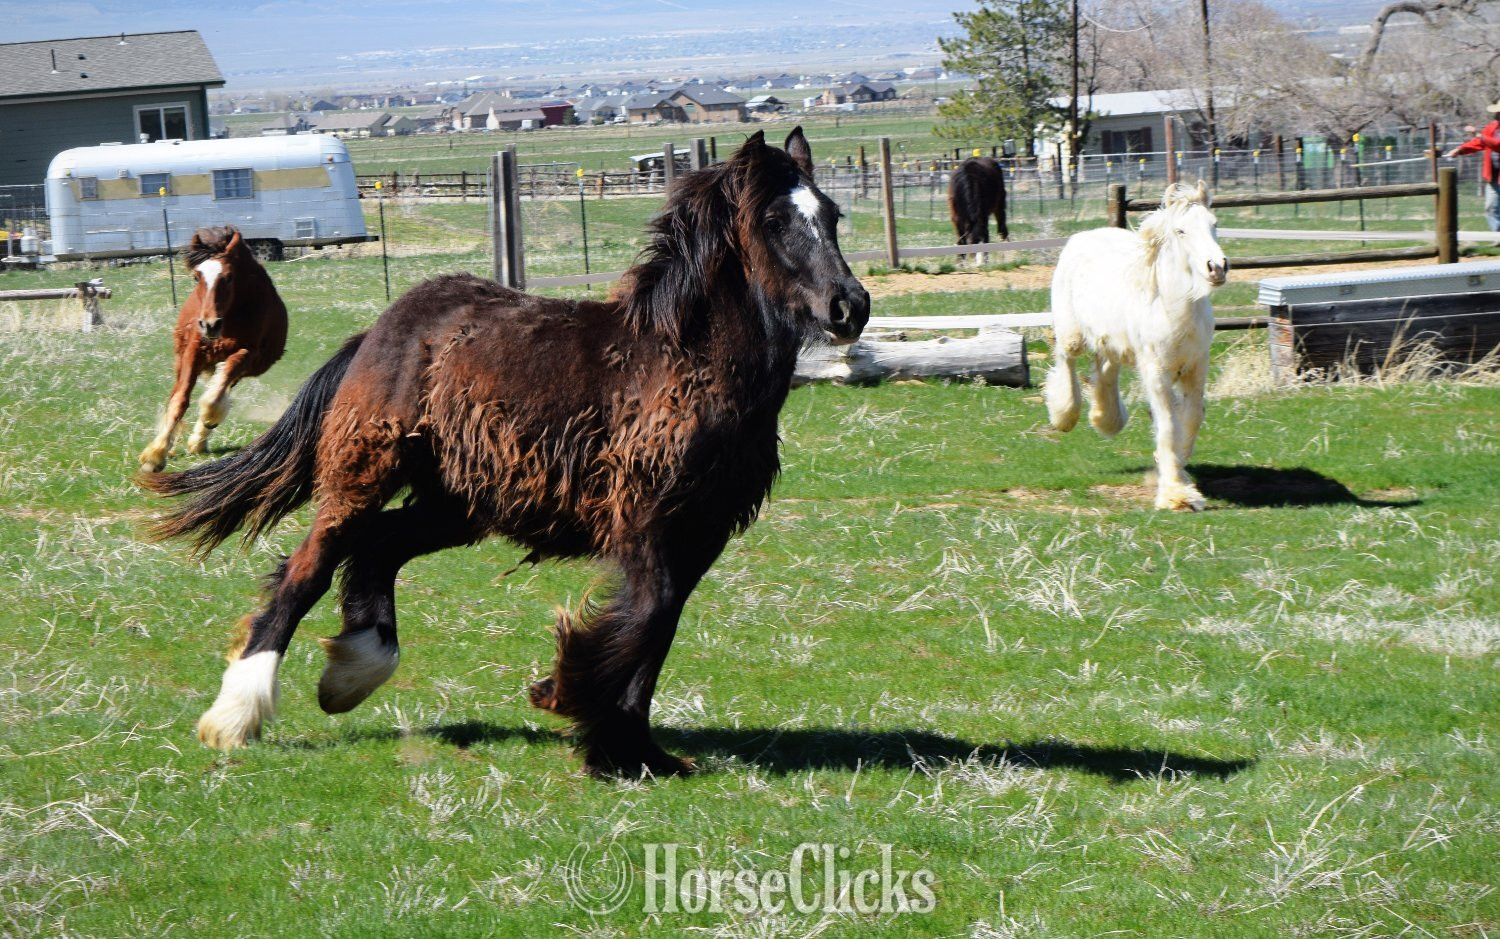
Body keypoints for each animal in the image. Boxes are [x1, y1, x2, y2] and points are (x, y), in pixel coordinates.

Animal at [138, 225, 288, 473]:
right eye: (196, 276)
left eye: (228, 277)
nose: (209, 324)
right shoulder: (194, 351)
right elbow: (180, 400)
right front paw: (155, 455)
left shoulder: (248, 353)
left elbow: (214, 398)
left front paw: (207, 422)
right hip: (181, 359)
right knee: (177, 393)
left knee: (220, 388)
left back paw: (199, 438)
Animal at [1042, 181, 1228, 512]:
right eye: (1181, 231)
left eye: (1214, 224)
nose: (1217, 268)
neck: (1173, 309)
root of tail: (1081, 236)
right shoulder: (1156, 372)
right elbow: (1168, 424)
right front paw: (1176, 496)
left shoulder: (1196, 367)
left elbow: (1192, 419)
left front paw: (1173, 475)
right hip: (1071, 334)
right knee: (1067, 361)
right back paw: (1065, 416)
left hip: (1113, 343)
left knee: (1104, 372)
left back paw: (1106, 420)